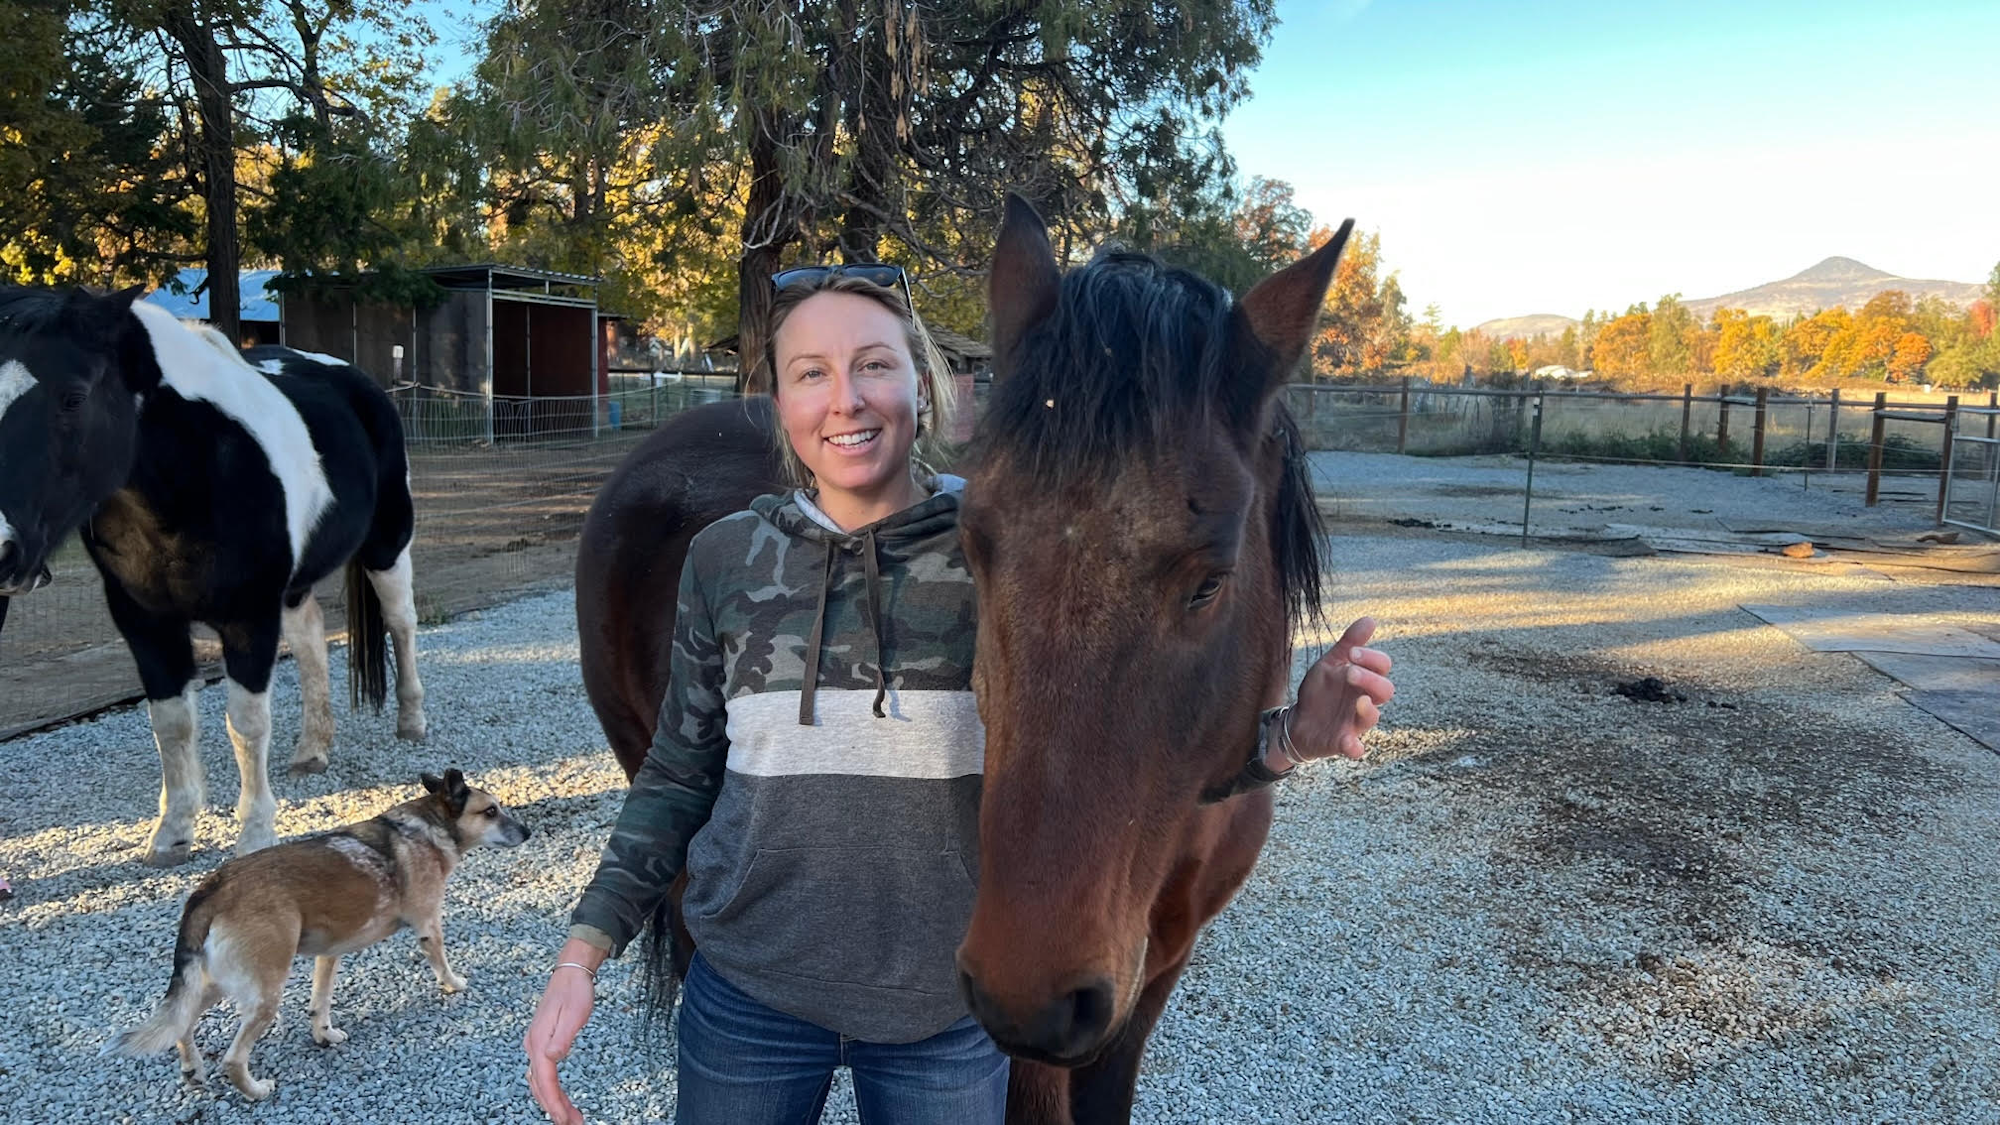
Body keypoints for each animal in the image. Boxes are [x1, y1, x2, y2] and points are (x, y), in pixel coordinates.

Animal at [1, 284, 426, 860]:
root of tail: (361, 383)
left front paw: (255, 834)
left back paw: (412, 722)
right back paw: (313, 749)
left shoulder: (249, 616)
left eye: (73, 396)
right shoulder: (144, 621)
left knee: (401, 622)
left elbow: (245, 724)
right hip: (293, 589)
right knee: (311, 639)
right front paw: (173, 831)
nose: (4, 551)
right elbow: (172, 723)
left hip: (387, 544)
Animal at [106, 764, 532, 1088]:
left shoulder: (329, 956)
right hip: (264, 993)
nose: (528, 832)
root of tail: (211, 887)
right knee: (232, 1059)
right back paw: (256, 1091)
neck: (428, 826)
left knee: (181, 1027)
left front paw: (324, 1035)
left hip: (212, 983)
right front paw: (454, 984)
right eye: (491, 811)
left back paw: (194, 1071)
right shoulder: (429, 925)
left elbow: (320, 1004)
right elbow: (442, 962)